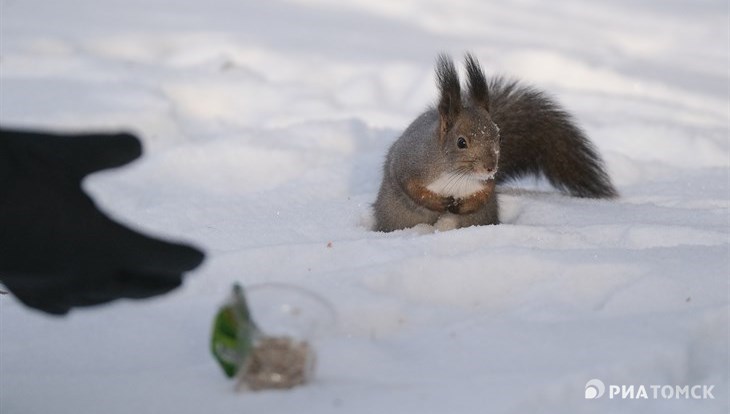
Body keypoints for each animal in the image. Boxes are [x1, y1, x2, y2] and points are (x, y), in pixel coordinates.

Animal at [372, 53, 616, 231]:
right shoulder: (411, 161)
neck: (455, 174)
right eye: (461, 142)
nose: (490, 167)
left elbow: (484, 194)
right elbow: (410, 186)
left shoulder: (486, 184)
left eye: (499, 136)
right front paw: (439, 202)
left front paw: (462, 205)